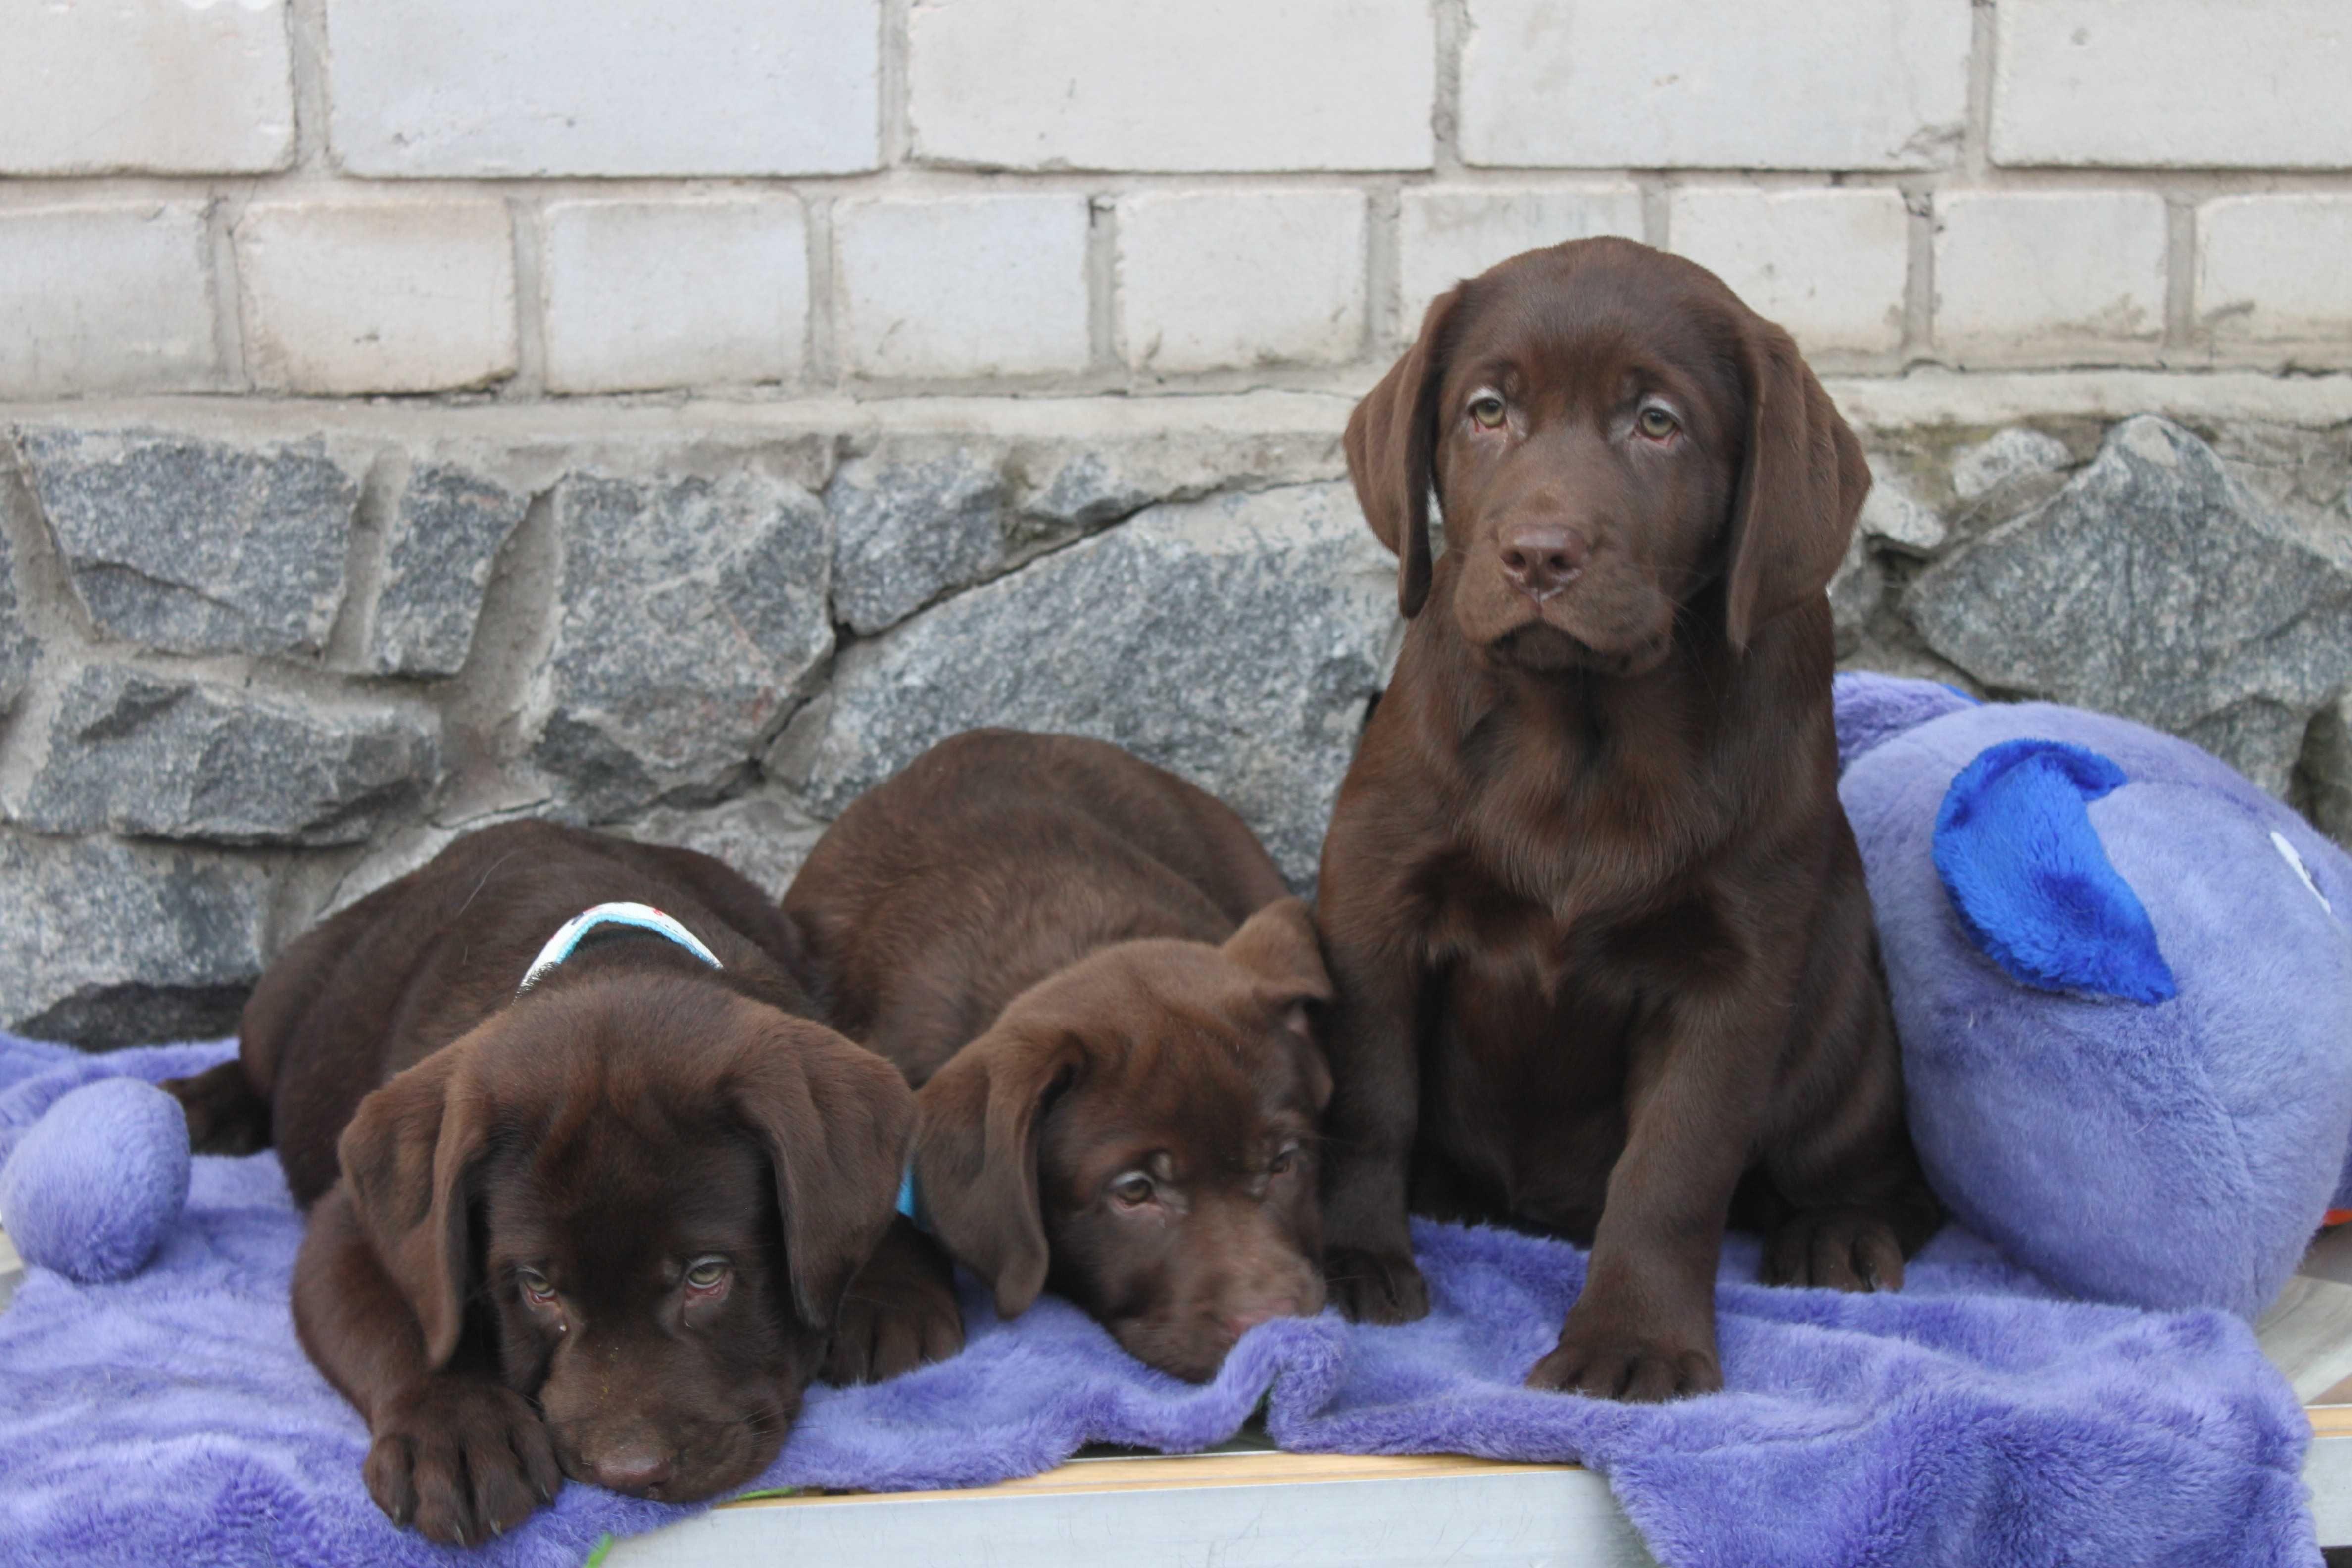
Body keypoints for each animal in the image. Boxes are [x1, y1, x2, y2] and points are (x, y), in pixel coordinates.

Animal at [166, 823, 940, 1542]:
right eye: (538, 1288)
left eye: (707, 1276)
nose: (630, 1473)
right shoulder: (352, 1220)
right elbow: (418, 1321)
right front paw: (457, 1429)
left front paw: (891, 1287)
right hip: (283, 1004)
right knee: (252, 1066)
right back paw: (196, 1105)